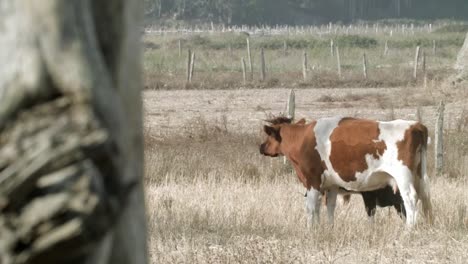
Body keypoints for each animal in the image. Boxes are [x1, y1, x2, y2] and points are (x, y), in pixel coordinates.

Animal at [260, 116, 432, 226]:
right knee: (425, 196)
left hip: (403, 177)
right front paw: (328, 228)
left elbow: (311, 208)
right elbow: (329, 207)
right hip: (419, 176)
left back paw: (409, 230)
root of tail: (415, 125)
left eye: (269, 135)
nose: (261, 147)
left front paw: (311, 230)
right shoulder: (331, 185)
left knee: (411, 199)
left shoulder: (312, 181)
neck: (303, 139)